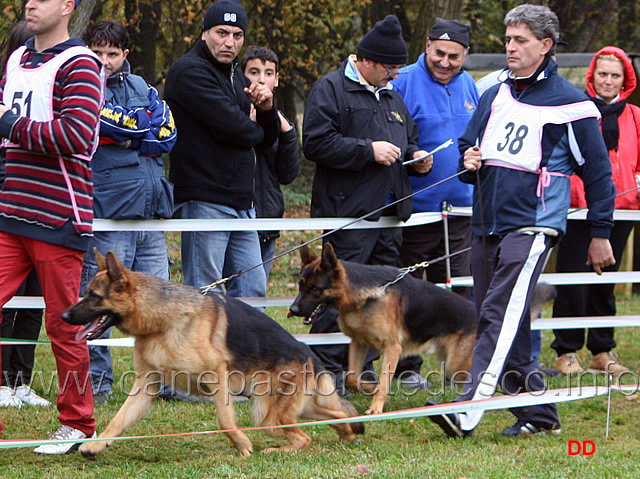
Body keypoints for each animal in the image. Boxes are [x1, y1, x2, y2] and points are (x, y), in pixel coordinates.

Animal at [65, 251, 364, 458]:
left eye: (93, 295)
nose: (64, 316)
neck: (163, 320)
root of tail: (307, 352)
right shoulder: (146, 385)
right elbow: (119, 419)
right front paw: (97, 444)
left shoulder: (218, 375)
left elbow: (224, 419)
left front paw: (242, 445)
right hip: (288, 408)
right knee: (334, 415)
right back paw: (347, 431)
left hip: (267, 415)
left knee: (304, 438)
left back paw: (280, 449)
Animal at [288, 244, 478, 416]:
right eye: (300, 285)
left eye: (314, 288)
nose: (293, 309)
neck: (366, 296)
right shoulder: (358, 343)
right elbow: (352, 378)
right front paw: (370, 388)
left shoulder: (392, 349)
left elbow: (383, 382)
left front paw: (376, 407)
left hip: (455, 365)